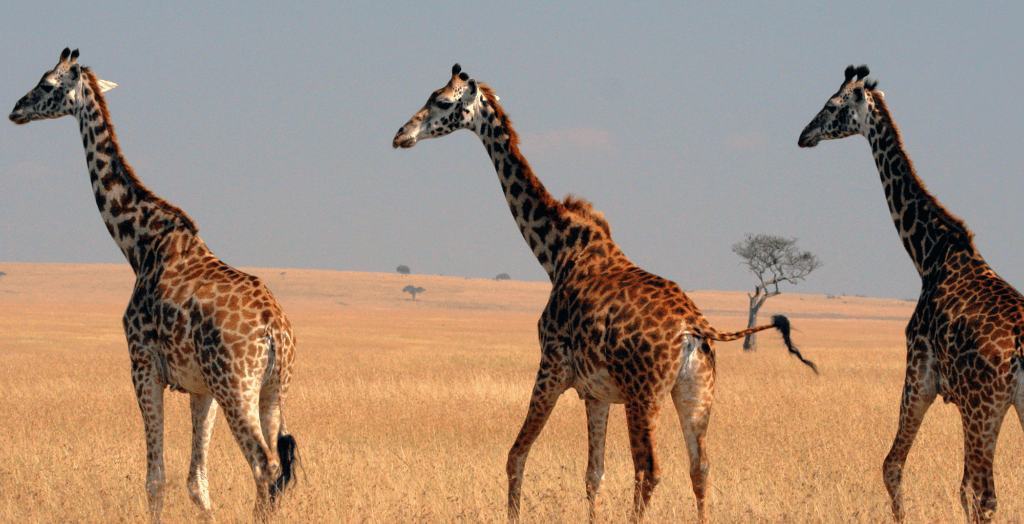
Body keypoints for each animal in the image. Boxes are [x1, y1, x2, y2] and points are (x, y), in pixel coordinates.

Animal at [9, 48, 299, 519]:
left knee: (266, 465)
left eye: (48, 83)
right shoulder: (201, 387)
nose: (16, 109)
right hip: (273, 387)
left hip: (237, 385)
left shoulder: (142, 365)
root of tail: (276, 329)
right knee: (277, 466)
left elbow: (155, 479)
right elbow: (197, 482)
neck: (140, 243)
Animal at [391, 63, 815, 521]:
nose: (401, 135)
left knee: (650, 470)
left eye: (442, 101)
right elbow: (593, 475)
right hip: (696, 393)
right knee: (699, 468)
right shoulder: (595, 392)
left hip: (644, 395)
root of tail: (696, 328)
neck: (557, 252)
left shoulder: (552, 367)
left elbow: (516, 456)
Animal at [798, 63, 1024, 521]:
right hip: (1003, 408)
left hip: (985, 408)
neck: (929, 253)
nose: (803, 136)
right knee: (981, 492)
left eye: (831, 105)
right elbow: (957, 488)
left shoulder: (919, 370)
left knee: (986, 495)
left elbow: (893, 466)